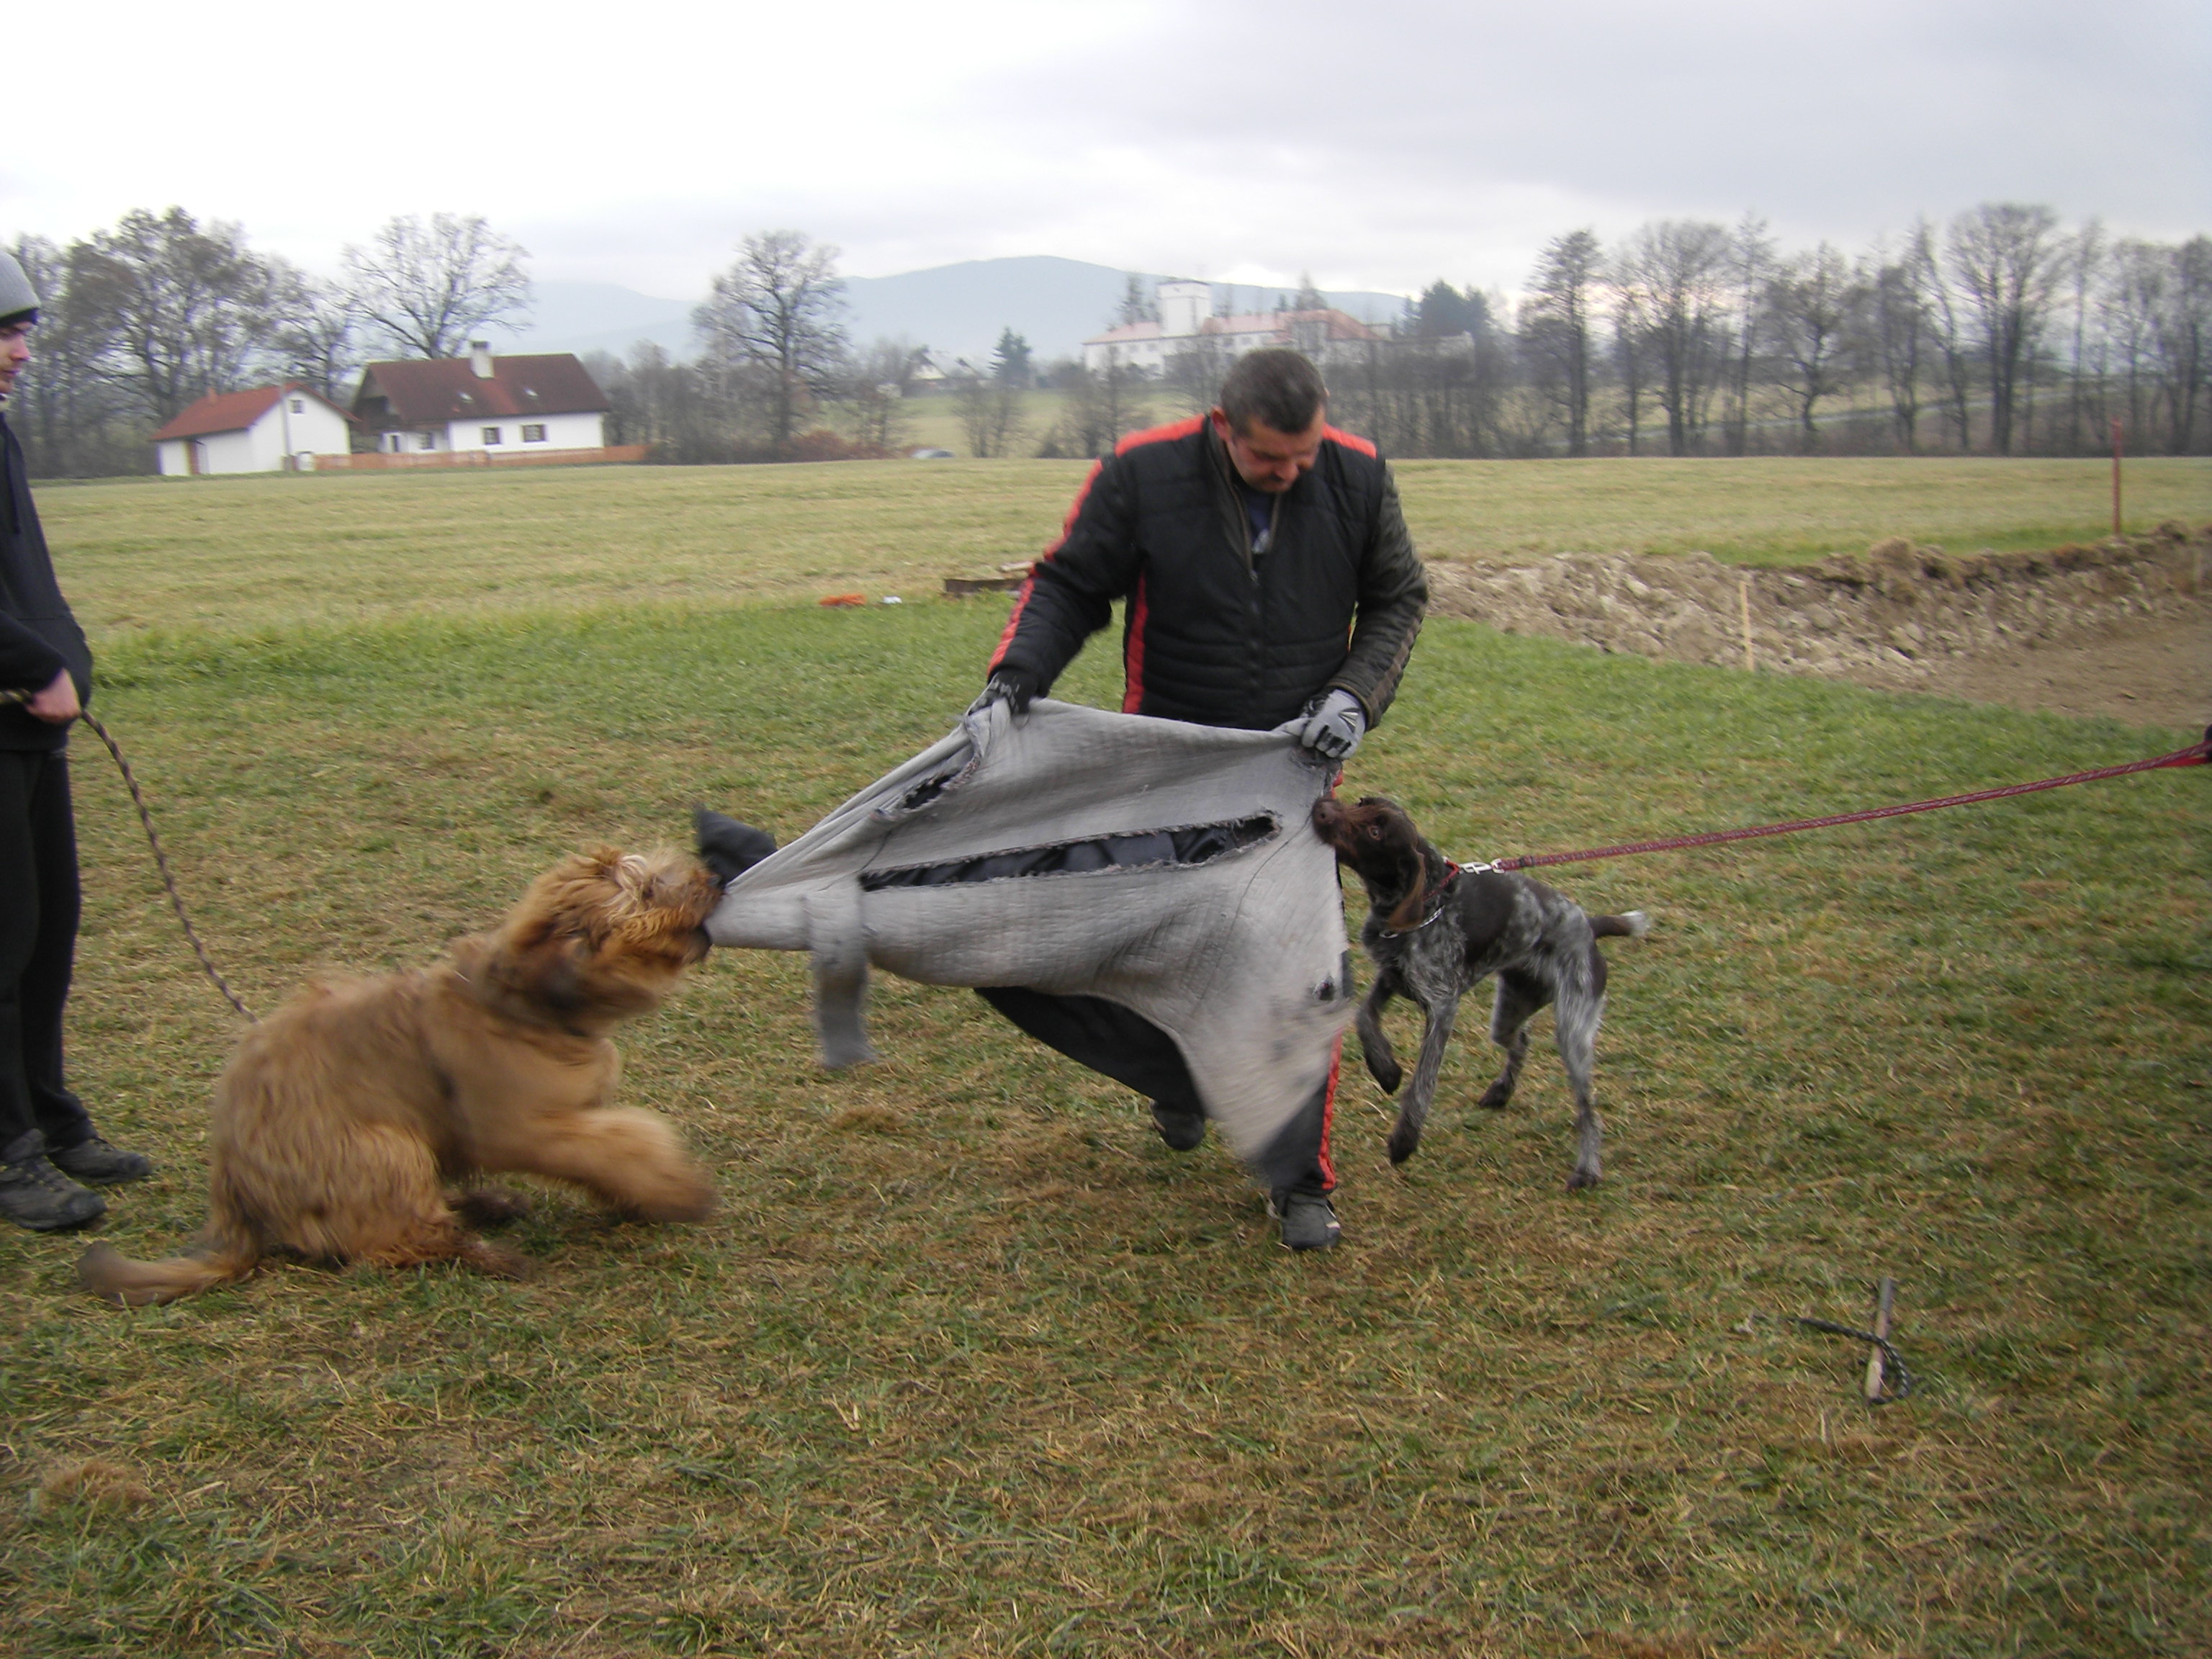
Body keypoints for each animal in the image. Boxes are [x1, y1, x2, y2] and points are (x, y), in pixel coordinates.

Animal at [73, 849, 716, 1309]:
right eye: (647, 890)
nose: (709, 876)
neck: (524, 1005)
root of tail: (232, 1187)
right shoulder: (520, 1127)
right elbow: (622, 1143)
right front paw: (675, 1190)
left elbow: (610, 1147)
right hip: (378, 1150)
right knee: (390, 1242)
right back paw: (485, 1252)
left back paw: (485, 1204)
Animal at [1309, 801, 1645, 1185]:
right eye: (1362, 803)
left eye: (1376, 833)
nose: (1321, 807)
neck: (1430, 903)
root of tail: (1588, 925)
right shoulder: (1393, 978)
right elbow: (1365, 1017)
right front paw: (1385, 1069)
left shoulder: (1443, 1006)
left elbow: (1423, 1082)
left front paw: (1405, 1139)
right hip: (1511, 1010)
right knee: (1521, 1040)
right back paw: (1501, 1092)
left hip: (1573, 1030)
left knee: (1588, 1108)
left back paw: (1587, 1169)